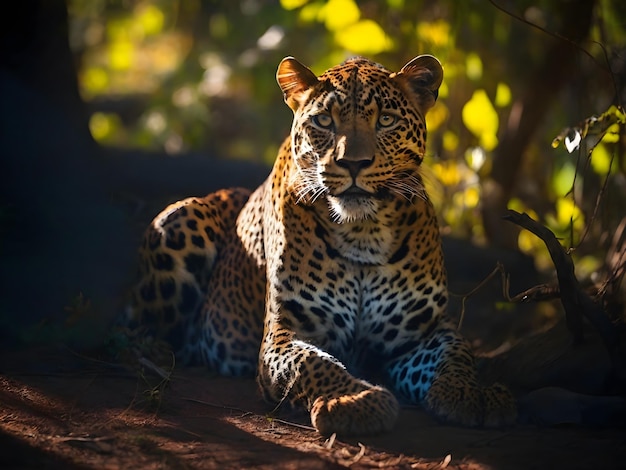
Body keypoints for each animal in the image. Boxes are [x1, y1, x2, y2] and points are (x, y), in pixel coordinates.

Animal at [123, 55, 516, 436]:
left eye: (386, 120)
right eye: (325, 121)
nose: (354, 163)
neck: (363, 232)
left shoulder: (421, 333)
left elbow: (457, 354)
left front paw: (472, 393)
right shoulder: (285, 333)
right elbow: (312, 364)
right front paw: (358, 401)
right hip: (178, 218)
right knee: (140, 324)